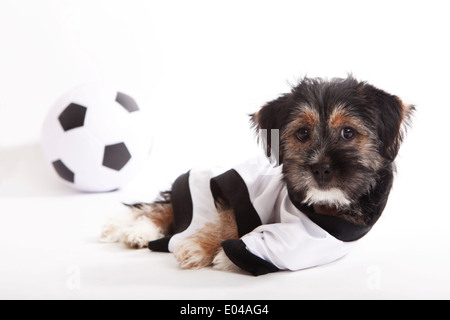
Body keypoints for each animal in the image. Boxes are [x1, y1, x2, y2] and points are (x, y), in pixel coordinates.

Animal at [102, 77, 414, 276]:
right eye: (302, 133)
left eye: (348, 133)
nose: (320, 168)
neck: (318, 205)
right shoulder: (243, 193)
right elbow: (227, 223)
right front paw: (197, 247)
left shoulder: (303, 243)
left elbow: (254, 244)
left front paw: (223, 257)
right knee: (160, 209)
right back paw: (137, 231)